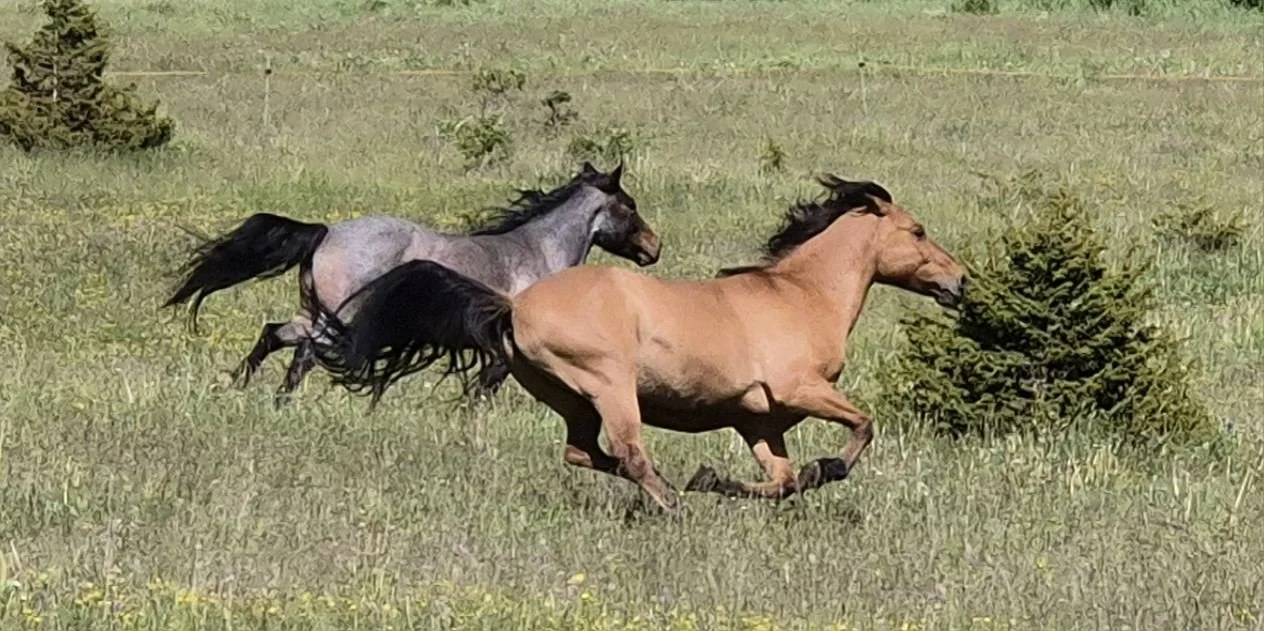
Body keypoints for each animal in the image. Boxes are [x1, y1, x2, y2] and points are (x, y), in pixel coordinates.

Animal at [162, 161, 659, 406]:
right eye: (630, 205)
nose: (653, 247)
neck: (535, 251)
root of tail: (327, 232)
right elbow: (488, 384)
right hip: (340, 319)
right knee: (305, 353)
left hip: (313, 313)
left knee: (275, 337)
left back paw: (252, 391)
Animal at [313, 175, 966, 513]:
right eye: (917, 232)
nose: (959, 282)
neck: (799, 296)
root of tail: (514, 304)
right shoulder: (801, 390)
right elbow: (862, 427)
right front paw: (824, 466)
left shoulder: (758, 420)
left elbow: (781, 479)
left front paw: (719, 480)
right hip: (611, 386)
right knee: (628, 451)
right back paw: (670, 504)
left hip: (569, 397)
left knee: (583, 452)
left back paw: (675, 490)